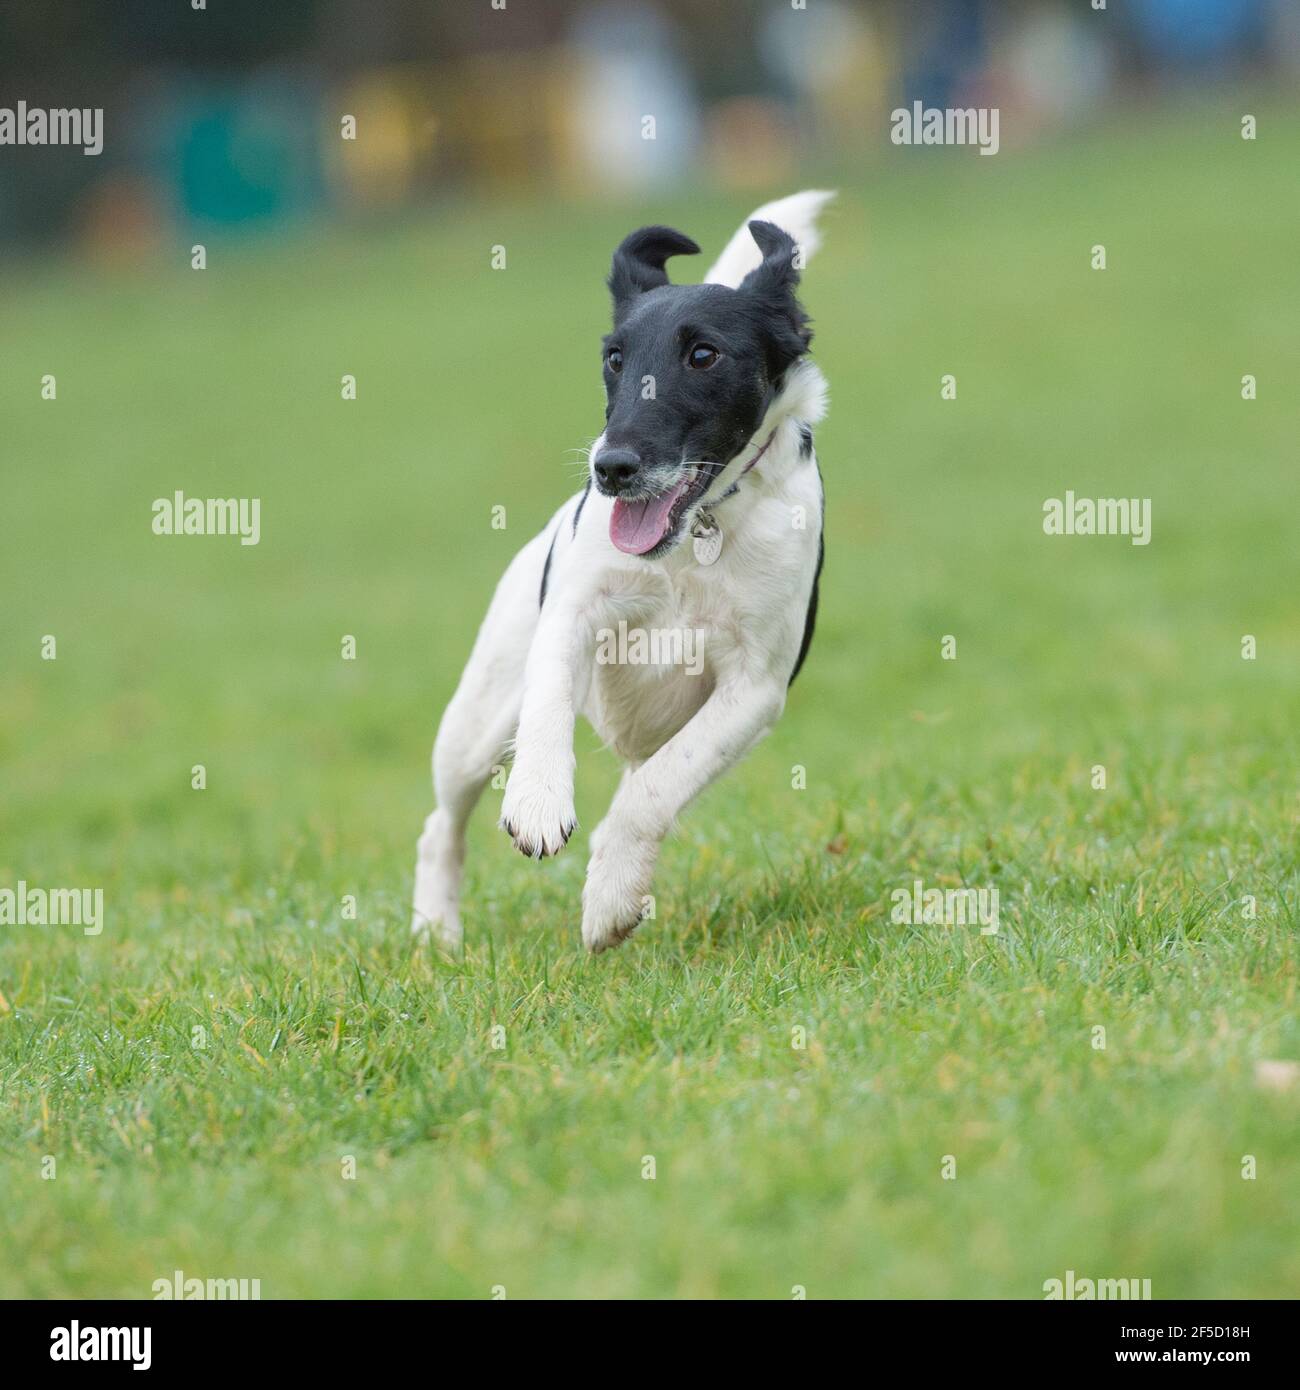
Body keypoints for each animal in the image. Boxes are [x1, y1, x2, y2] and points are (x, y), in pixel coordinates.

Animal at [414, 190, 834, 950]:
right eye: (614, 358)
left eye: (704, 354)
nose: (609, 468)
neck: (697, 537)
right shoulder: (568, 617)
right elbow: (549, 703)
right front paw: (538, 801)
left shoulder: (754, 689)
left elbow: (653, 791)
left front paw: (610, 898)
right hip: (477, 719)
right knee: (441, 825)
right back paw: (436, 932)